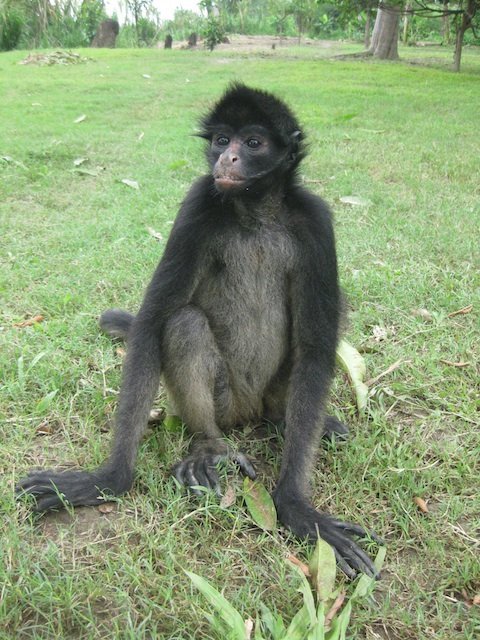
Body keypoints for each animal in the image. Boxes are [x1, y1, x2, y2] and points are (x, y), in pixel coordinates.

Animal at [17, 83, 381, 578]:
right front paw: (107, 480)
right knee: (184, 321)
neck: (255, 213)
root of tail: (249, 409)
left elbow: (315, 344)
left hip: (271, 390)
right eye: (221, 139)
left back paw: (283, 419)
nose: (225, 158)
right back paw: (211, 449)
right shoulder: (198, 202)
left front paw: (295, 506)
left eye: (252, 143)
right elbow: (154, 320)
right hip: (225, 401)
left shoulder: (315, 220)